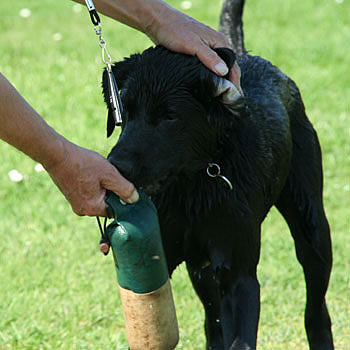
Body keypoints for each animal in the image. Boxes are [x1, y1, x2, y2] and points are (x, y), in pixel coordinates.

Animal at [102, 1, 334, 348]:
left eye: (170, 116)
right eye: (125, 111)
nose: (117, 166)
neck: (191, 187)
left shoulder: (239, 275)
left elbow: (241, 336)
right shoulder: (165, 257)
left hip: (312, 225)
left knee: (316, 308)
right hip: (201, 268)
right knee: (213, 321)